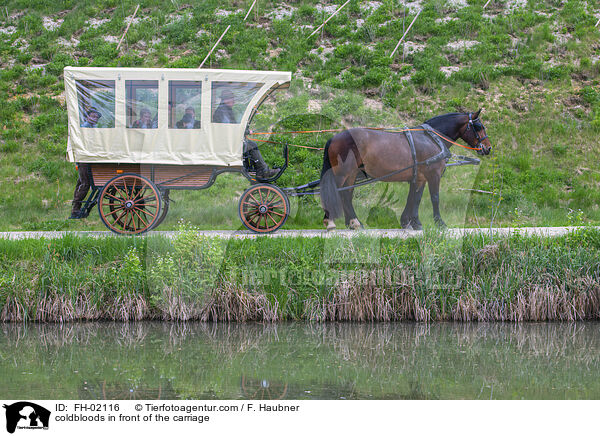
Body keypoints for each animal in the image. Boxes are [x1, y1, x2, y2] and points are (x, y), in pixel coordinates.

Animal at [318, 110, 492, 232]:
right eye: (478, 127)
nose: (488, 148)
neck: (431, 139)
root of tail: (334, 138)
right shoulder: (433, 174)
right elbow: (434, 198)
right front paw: (439, 223)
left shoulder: (419, 177)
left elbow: (415, 199)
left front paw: (411, 223)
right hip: (342, 173)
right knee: (336, 192)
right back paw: (331, 222)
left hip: (352, 174)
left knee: (346, 195)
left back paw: (354, 223)